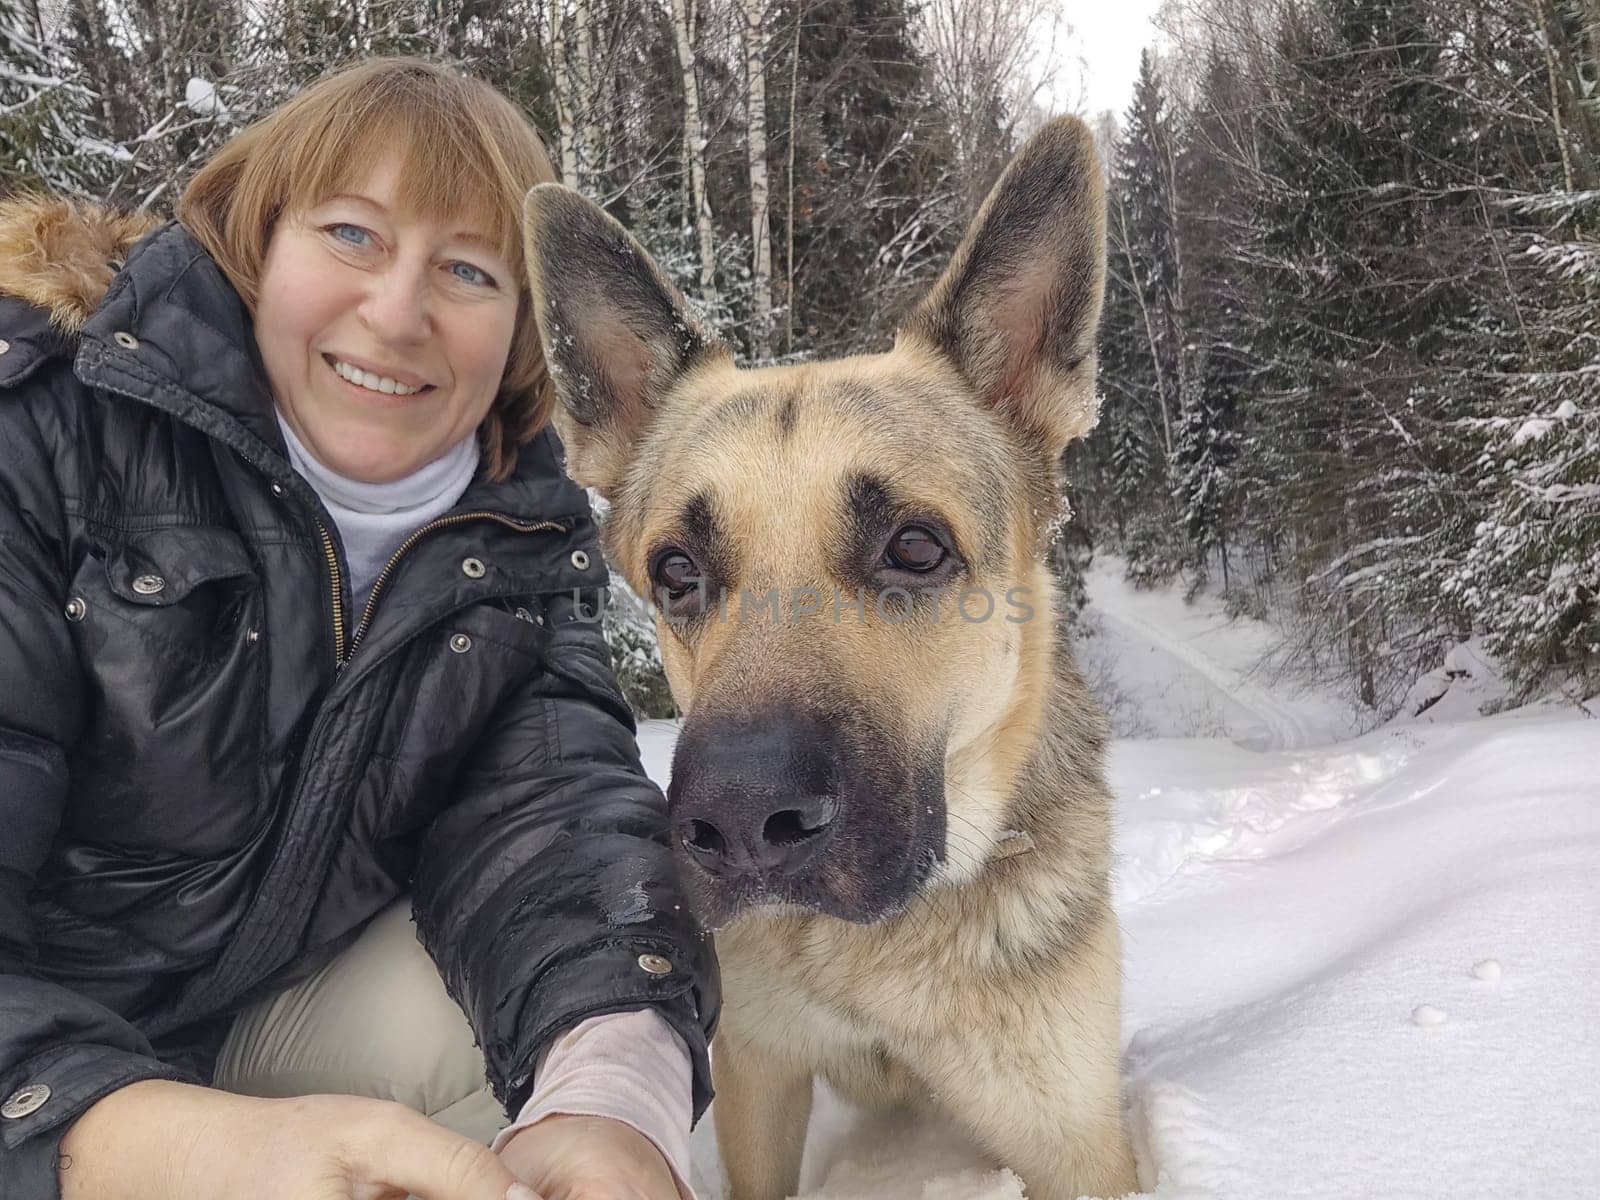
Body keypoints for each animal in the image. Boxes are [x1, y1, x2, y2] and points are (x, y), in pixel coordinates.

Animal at [521, 120, 1139, 1200]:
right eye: (676, 571)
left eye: (916, 547)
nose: (737, 825)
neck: (873, 952)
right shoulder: (760, 1080)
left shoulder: (1075, 1145)